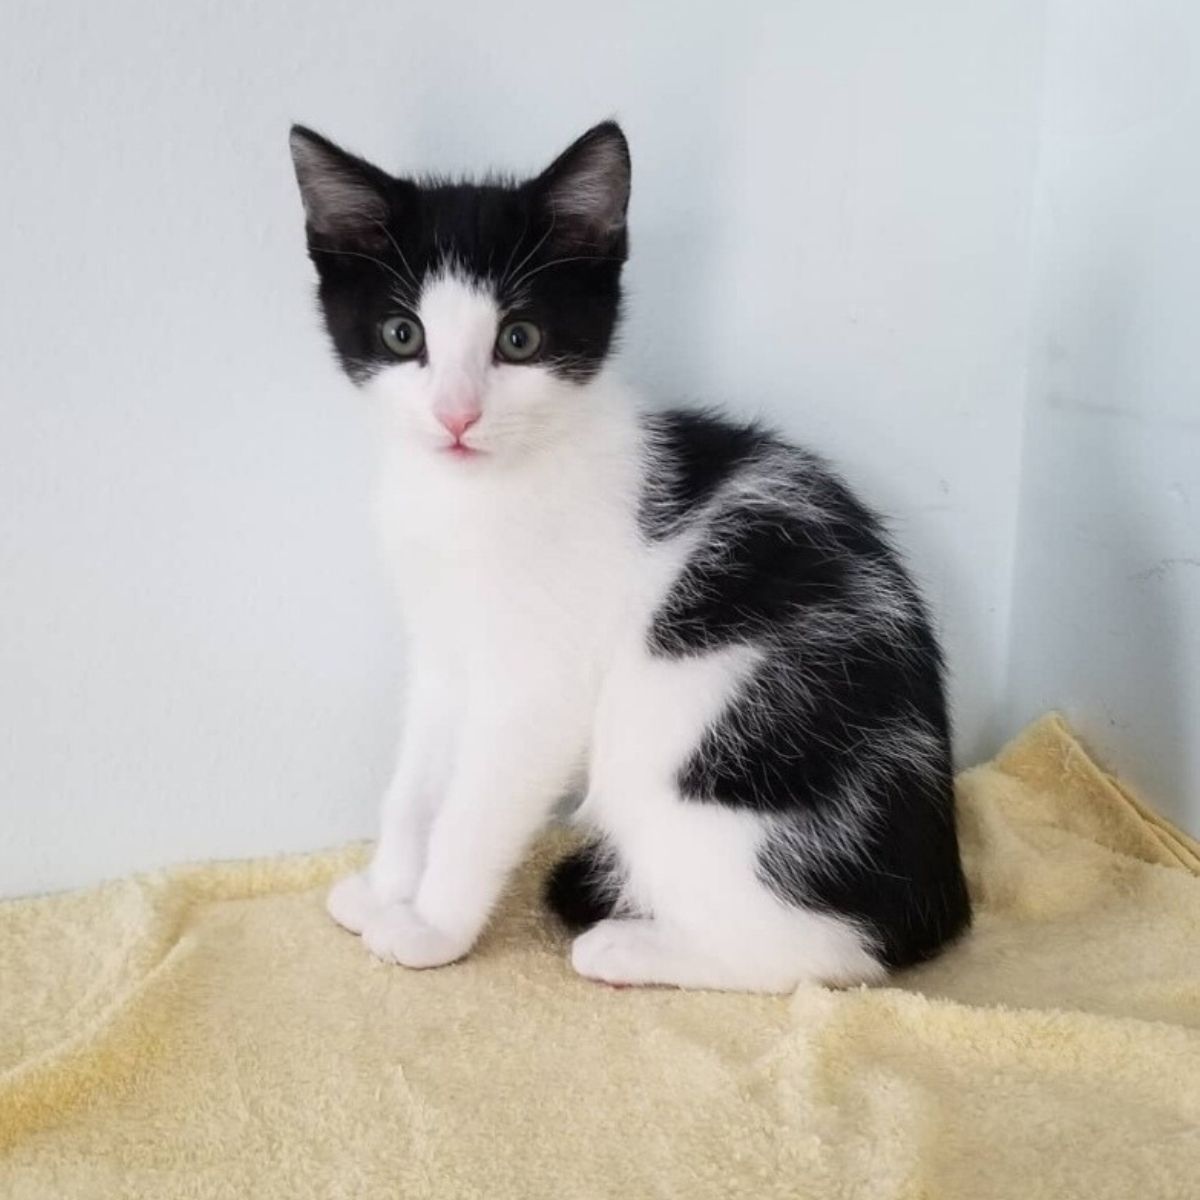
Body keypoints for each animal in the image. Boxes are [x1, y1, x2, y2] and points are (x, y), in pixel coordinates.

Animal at [290, 119, 974, 993]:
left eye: (519, 339)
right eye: (402, 335)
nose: (456, 416)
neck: (475, 496)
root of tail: (937, 893)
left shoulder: (537, 684)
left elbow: (475, 805)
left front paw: (432, 926)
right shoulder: (443, 650)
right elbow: (415, 783)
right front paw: (385, 889)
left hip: (694, 743)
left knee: (826, 952)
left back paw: (629, 945)